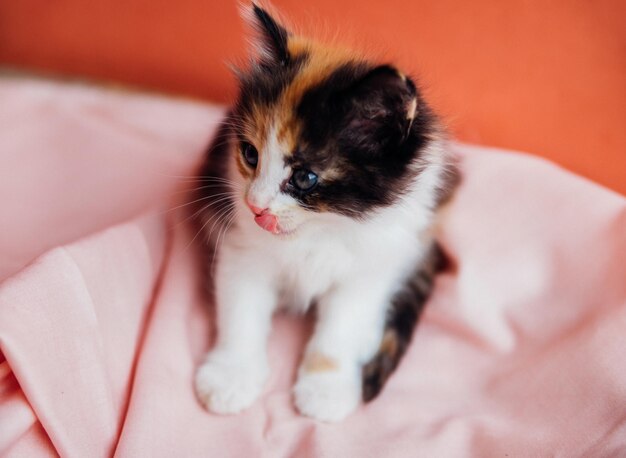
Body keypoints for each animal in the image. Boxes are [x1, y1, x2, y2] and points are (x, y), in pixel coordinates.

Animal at [193, 2, 456, 422]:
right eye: (249, 154)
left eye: (304, 178)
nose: (255, 206)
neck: (321, 228)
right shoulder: (240, 243)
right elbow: (241, 310)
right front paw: (231, 377)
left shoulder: (372, 262)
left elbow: (342, 327)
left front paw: (326, 389)